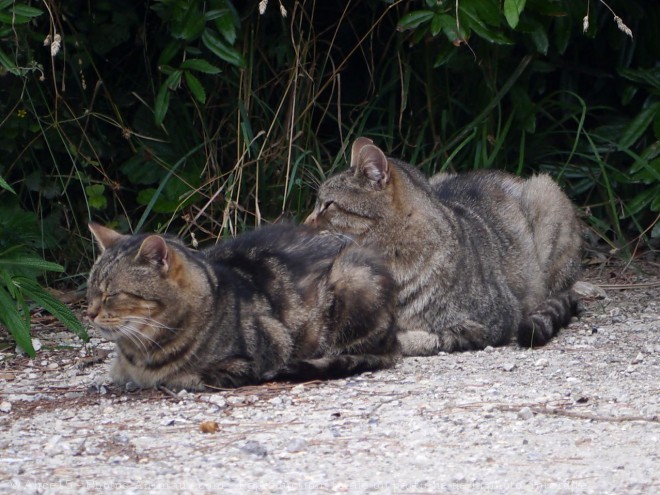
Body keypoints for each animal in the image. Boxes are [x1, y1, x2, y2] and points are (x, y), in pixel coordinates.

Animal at [85, 222, 400, 392]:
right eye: (91, 290)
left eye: (111, 294)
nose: (89, 313)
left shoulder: (255, 356)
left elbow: (182, 377)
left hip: (354, 274)